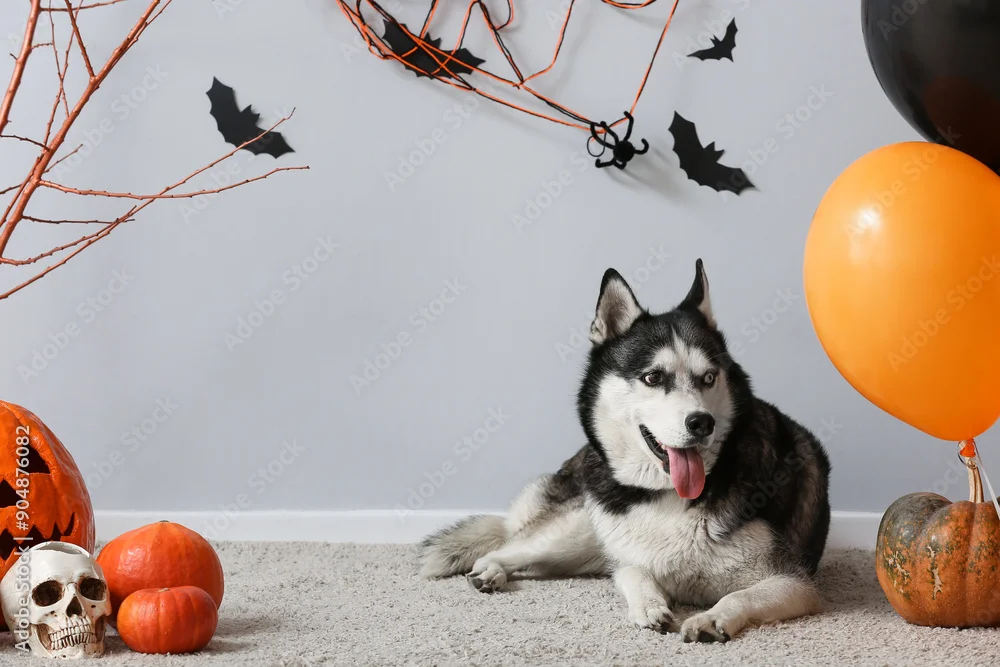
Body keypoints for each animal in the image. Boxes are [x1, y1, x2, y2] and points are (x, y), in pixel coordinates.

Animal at [419, 259, 831, 643]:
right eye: (653, 377)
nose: (702, 423)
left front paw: (710, 618)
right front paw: (649, 605)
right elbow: (633, 572)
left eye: (709, 377)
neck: (668, 495)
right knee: (506, 548)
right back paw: (489, 570)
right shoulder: (625, 558)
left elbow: (738, 596)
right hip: (577, 531)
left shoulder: (793, 582)